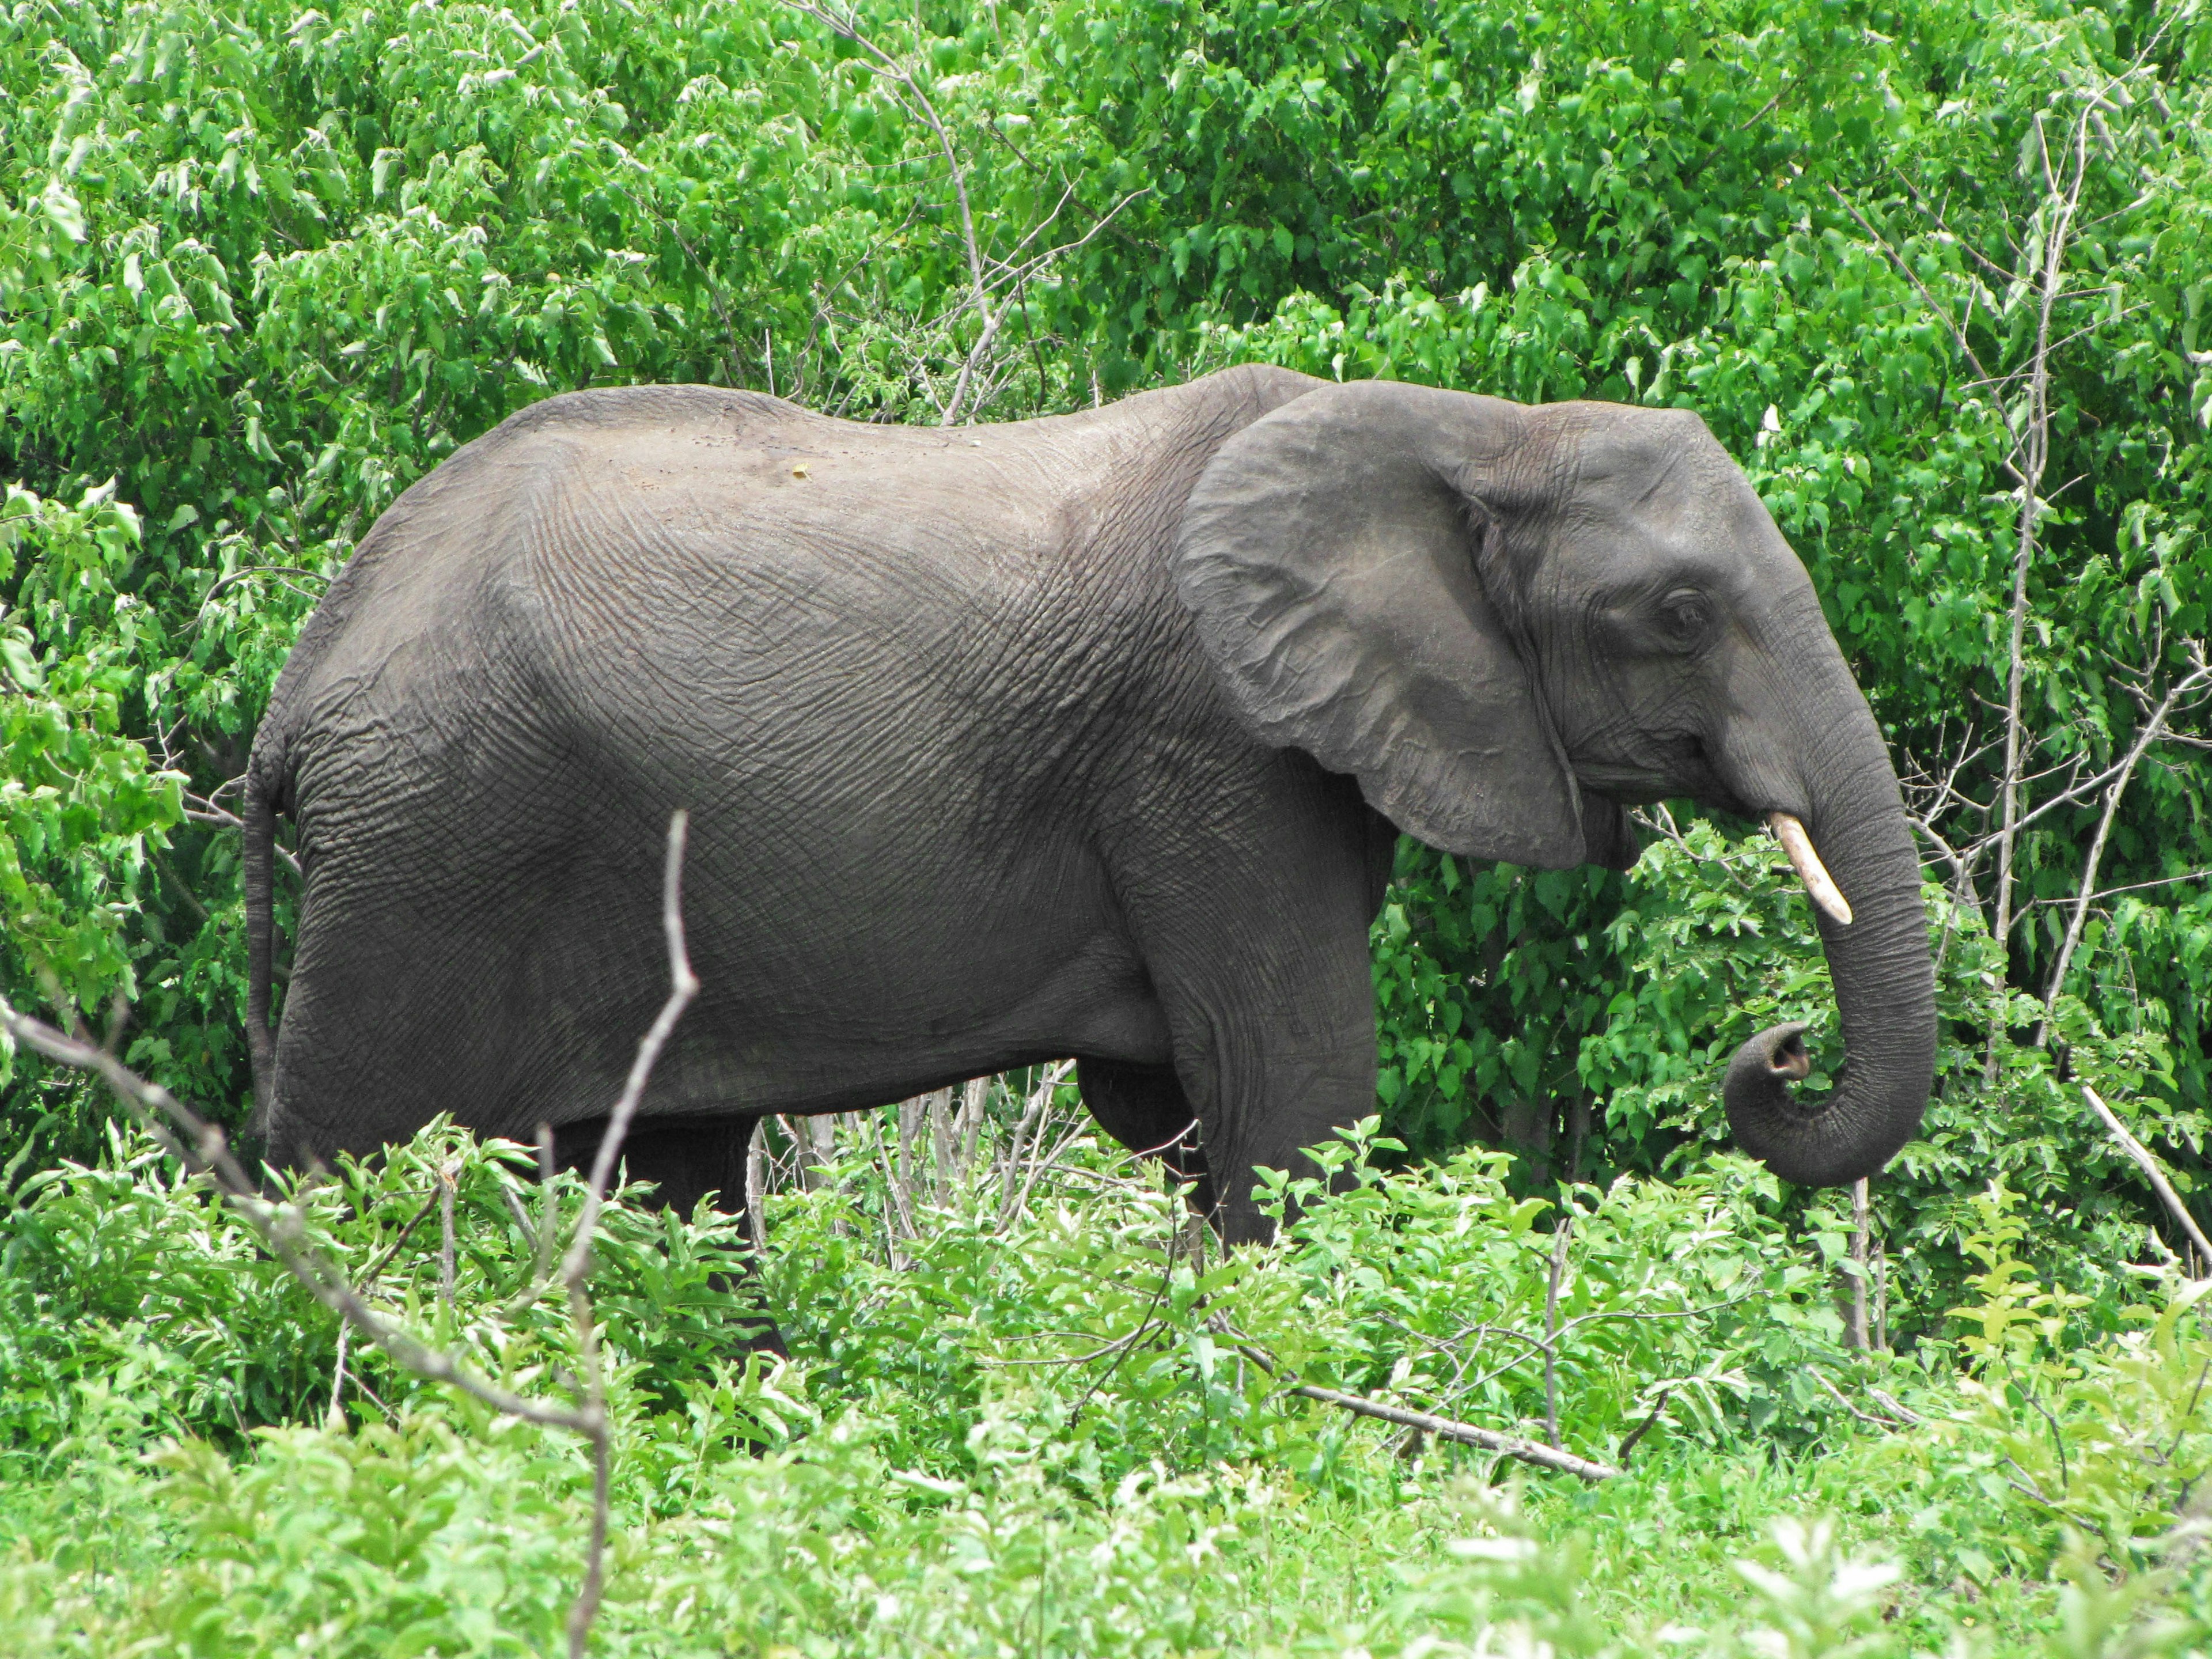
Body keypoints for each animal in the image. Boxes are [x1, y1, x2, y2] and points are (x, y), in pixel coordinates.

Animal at [247, 367, 1937, 1247]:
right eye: (1679, 613)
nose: (1779, 1048)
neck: (1469, 426)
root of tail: (304, 678)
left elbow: (1185, 1104)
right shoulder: (1215, 757)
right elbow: (1289, 1093)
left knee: (677, 1179)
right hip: (432, 844)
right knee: (337, 1160)